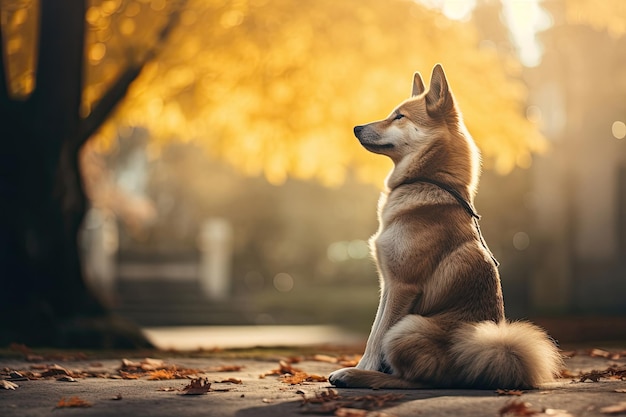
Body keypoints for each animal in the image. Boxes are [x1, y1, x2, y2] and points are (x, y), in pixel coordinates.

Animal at [326, 63, 560, 388]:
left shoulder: (402, 285)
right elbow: (374, 329)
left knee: (419, 379)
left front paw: (362, 366)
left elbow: (376, 336)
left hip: (409, 325)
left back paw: (363, 376)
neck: (429, 180)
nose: (356, 128)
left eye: (399, 116)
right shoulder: (388, 283)